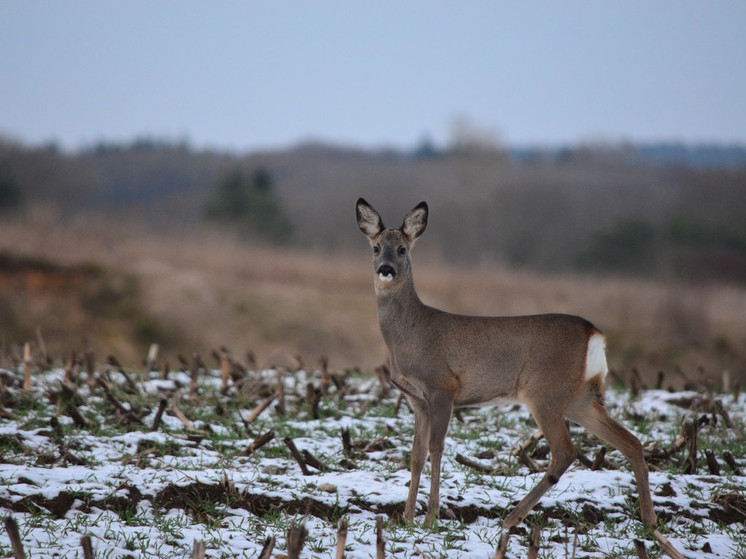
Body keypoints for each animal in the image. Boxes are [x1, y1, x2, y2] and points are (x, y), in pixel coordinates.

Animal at [354, 198, 680, 552]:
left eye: (402, 248)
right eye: (375, 247)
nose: (386, 269)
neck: (411, 334)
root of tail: (595, 334)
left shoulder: (443, 387)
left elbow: (436, 448)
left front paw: (429, 519)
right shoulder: (416, 398)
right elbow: (415, 454)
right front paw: (406, 517)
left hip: (544, 392)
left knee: (565, 452)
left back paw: (512, 518)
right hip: (580, 397)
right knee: (630, 441)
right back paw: (650, 523)